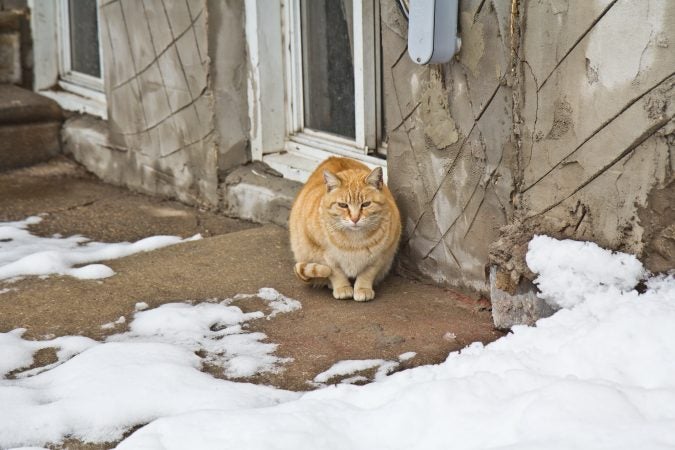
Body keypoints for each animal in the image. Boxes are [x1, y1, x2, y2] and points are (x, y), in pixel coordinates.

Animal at [288, 156, 398, 300]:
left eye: (366, 204)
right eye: (343, 205)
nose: (355, 219)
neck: (354, 241)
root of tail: (335, 157)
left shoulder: (381, 255)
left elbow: (367, 273)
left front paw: (363, 288)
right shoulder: (323, 252)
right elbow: (335, 272)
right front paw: (342, 287)